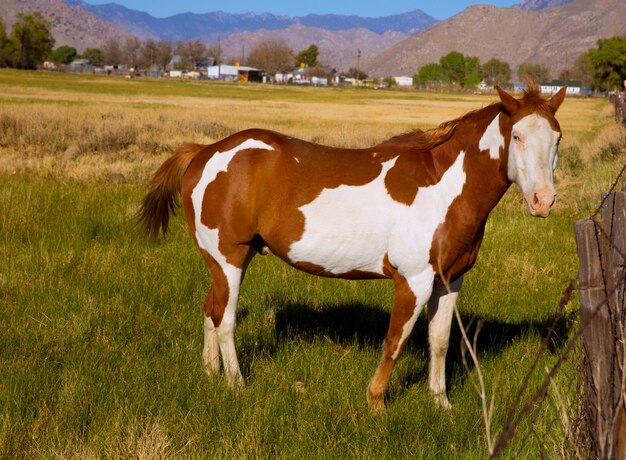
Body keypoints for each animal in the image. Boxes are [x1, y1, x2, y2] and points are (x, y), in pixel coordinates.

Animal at [139, 86, 564, 410]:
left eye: (557, 139)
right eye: (517, 137)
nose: (543, 201)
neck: (441, 188)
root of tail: (205, 151)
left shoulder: (448, 281)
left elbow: (440, 341)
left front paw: (440, 402)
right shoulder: (413, 281)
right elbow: (395, 341)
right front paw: (375, 401)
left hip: (222, 262)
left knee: (210, 311)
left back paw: (210, 374)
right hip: (229, 258)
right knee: (225, 320)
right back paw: (235, 384)